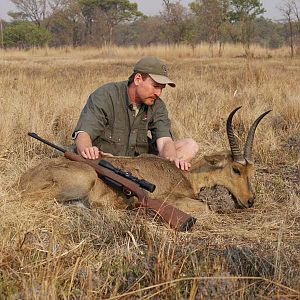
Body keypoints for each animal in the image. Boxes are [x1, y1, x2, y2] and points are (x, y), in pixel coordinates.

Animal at [19, 106, 270, 214]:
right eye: (236, 169)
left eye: (252, 171)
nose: (250, 200)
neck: (185, 175)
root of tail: (23, 179)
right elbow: (205, 207)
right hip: (82, 179)